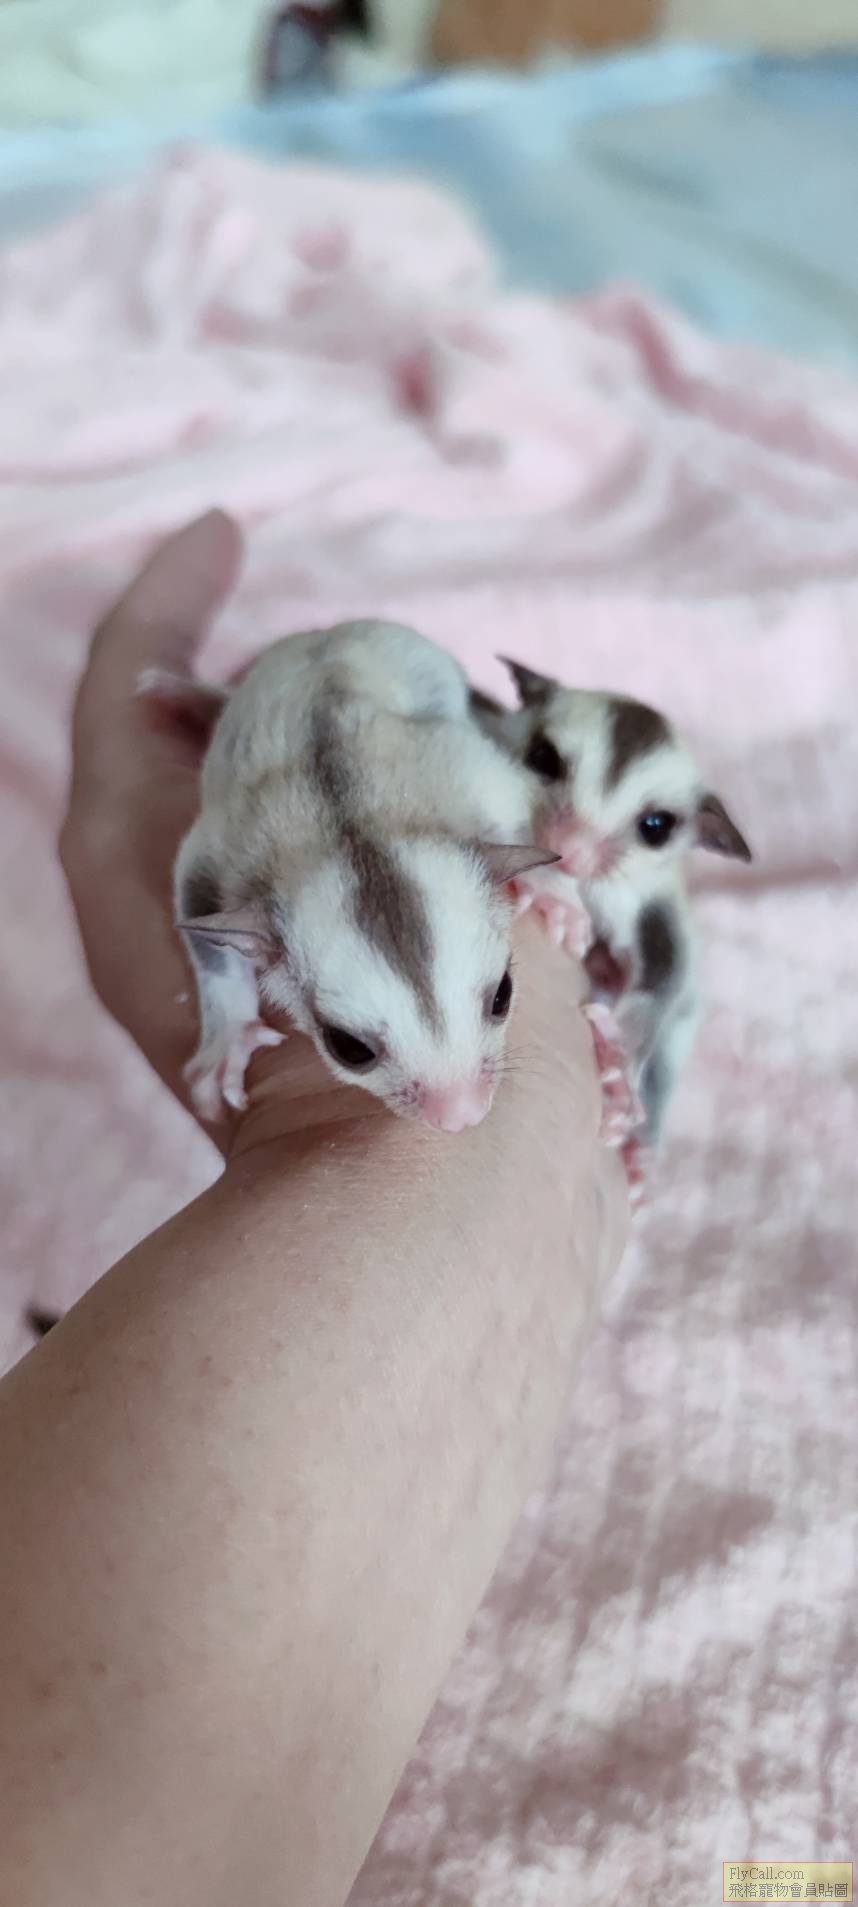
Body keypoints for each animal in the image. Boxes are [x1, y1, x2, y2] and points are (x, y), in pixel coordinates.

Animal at [167, 620, 557, 1134]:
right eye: (348, 1048)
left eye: (503, 996)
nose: (462, 1115)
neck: (352, 825)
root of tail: (327, 631)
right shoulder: (229, 844)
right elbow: (194, 893)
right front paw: (229, 1037)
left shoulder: (471, 777)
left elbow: (514, 797)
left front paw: (549, 889)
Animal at [471, 660, 752, 1146]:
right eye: (542, 758)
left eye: (656, 826)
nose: (570, 850)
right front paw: (549, 889)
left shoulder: (651, 899)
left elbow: (661, 977)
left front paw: (621, 1071)